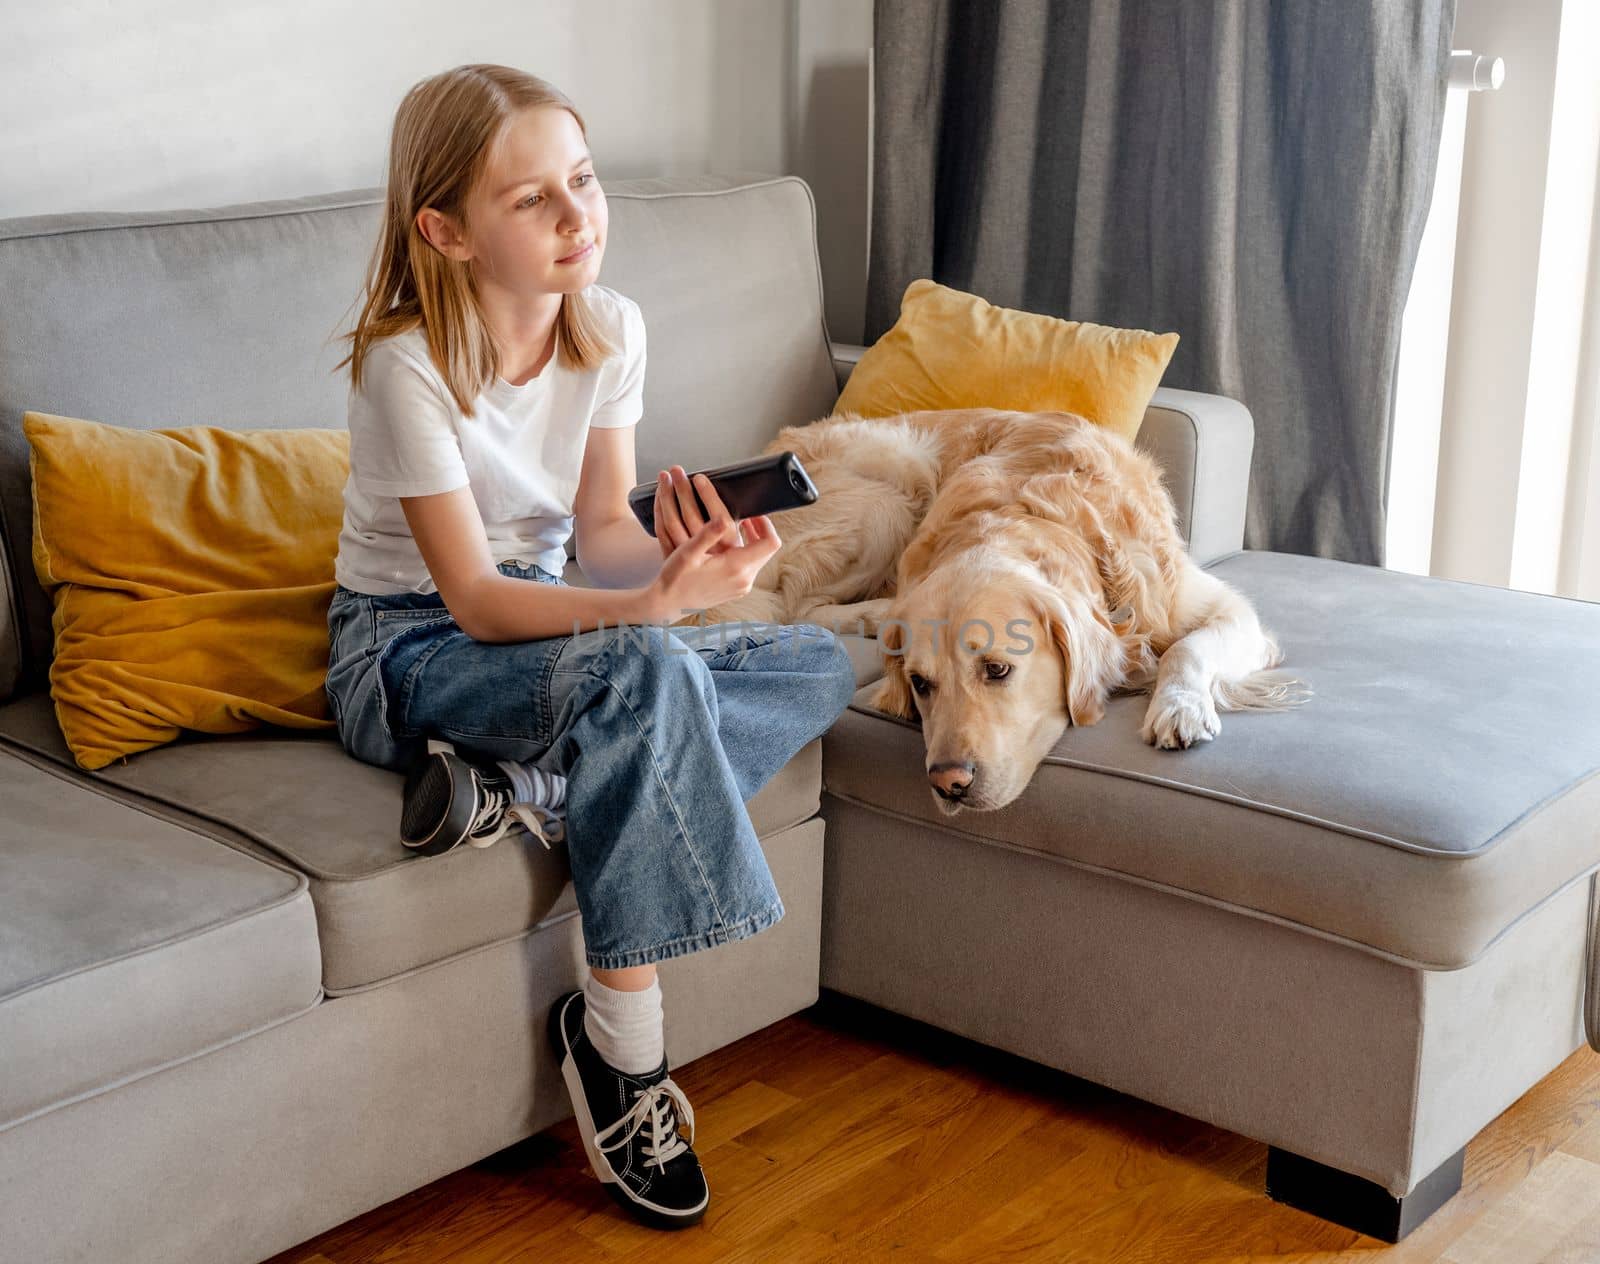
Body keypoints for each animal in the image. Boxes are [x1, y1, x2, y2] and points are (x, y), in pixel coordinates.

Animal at [668, 409, 1305, 816]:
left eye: (998, 670)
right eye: (921, 684)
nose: (948, 783)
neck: (1034, 514)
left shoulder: (1216, 605)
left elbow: (1188, 647)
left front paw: (1179, 707)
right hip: (889, 488)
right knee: (799, 603)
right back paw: (878, 613)